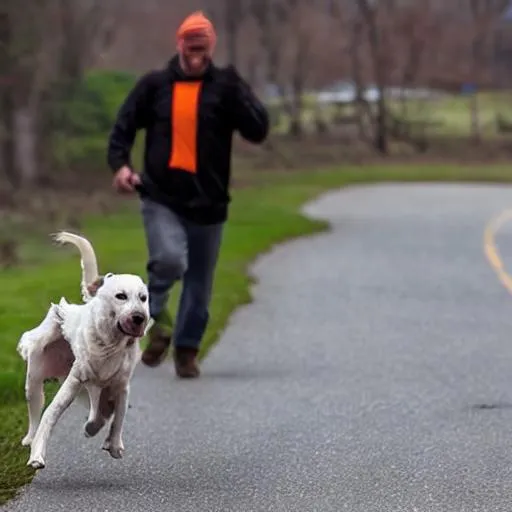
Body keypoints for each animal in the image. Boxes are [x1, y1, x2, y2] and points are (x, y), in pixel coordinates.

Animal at [16, 231, 152, 468]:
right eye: (121, 296)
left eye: (143, 298)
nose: (139, 317)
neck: (110, 344)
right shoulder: (74, 382)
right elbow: (49, 415)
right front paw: (37, 455)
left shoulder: (120, 386)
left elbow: (117, 417)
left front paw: (113, 444)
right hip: (34, 382)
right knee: (35, 413)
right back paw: (30, 438)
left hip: (91, 388)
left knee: (99, 410)